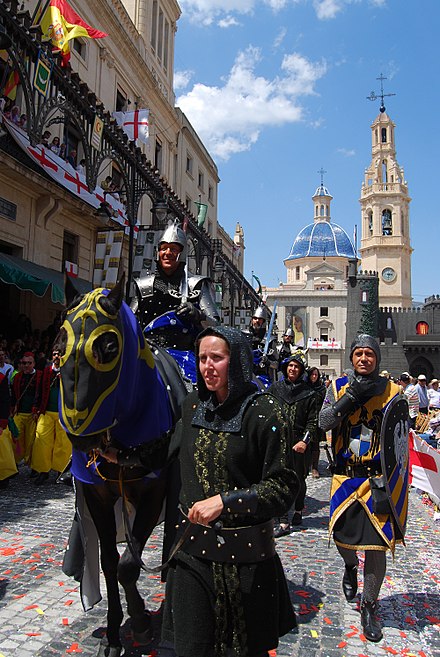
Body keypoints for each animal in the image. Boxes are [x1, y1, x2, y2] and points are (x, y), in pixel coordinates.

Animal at [55, 276, 186, 656]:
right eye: (58, 348)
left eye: (110, 347)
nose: (80, 438)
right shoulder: (97, 498)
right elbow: (110, 564)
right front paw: (114, 636)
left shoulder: (153, 496)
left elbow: (129, 565)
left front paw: (141, 623)